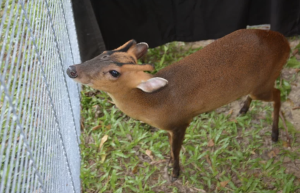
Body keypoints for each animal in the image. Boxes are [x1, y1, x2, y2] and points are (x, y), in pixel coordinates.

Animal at [66, 28, 290, 181]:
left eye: (114, 72)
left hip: (263, 83)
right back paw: (243, 110)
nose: (71, 69)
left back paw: (275, 134)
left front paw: (175, 173)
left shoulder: (181, 123)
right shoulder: (170, 127)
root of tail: (285, 42)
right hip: (256, 84)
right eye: (104, 52)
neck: (154, 102)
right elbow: (169, 147)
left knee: (278, 94)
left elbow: (175, 150)